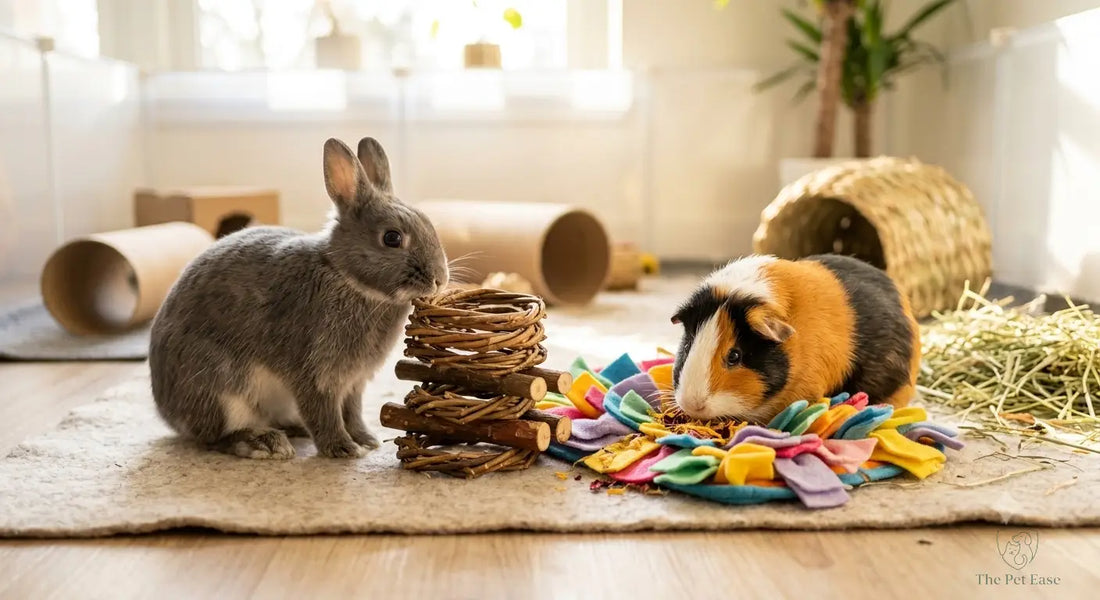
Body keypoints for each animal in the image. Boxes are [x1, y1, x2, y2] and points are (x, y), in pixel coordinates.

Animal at [149, 137, 449, 459]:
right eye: (392, 238)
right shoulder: (315, 374)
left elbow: (352, 412)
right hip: (219, 388)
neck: (346, 277)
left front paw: (365, 440)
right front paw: (342, 448)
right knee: (214, 437)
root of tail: (167, 412)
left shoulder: (353, 383)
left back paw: (292, 429)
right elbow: (324, 412)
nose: (439, 280)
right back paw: (264, 442)